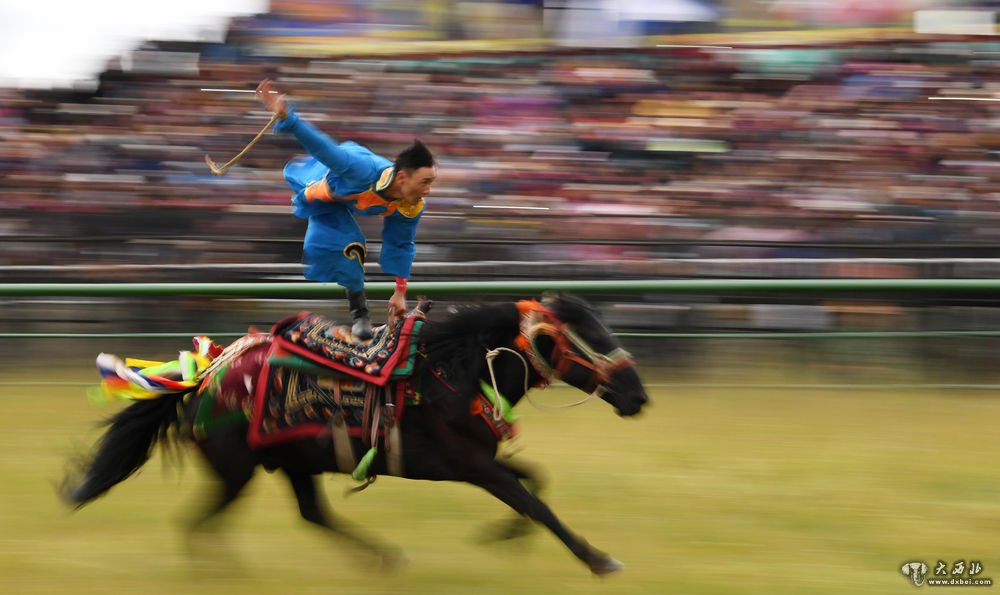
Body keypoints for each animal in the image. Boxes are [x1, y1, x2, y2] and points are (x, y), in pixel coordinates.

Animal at [66, 294, 652, 572]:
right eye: (590, 335)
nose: (638, 397)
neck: (454, 370)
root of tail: (207, 374)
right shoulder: (467, 466)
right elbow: (535, 502)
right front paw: (598, 559)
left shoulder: (478, 460)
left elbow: (535, 483)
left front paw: (500, 535)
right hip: (237, 470)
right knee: (199, 523)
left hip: (293, 463)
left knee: (311, 515)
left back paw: (382, 557)